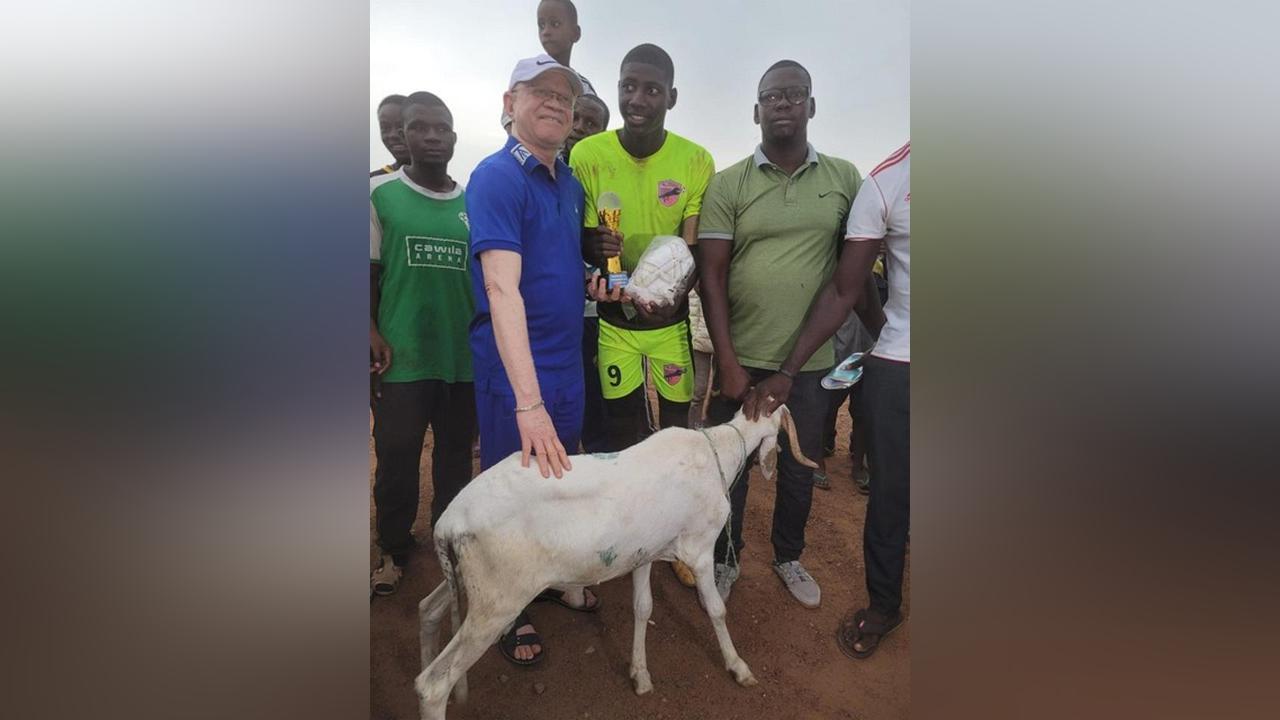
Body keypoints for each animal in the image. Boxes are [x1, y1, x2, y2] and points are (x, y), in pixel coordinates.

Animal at [413, 404, 817, 720]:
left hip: (469, 579)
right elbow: (716, 609)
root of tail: (449, 522)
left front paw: (640, 675)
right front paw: (738, 667)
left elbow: (642, 608)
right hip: (498, 600)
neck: (718, 449)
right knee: (432, 685)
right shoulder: (700, 550)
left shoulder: (644, 552)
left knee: (427, 610)